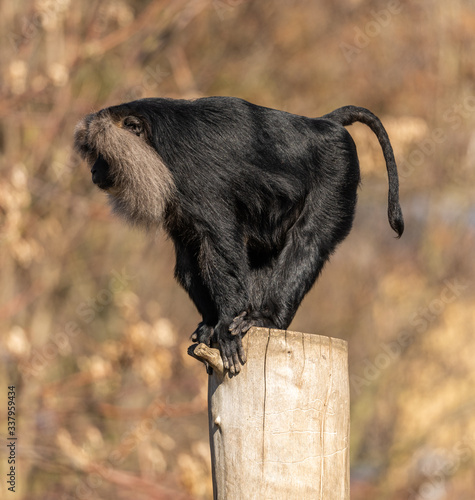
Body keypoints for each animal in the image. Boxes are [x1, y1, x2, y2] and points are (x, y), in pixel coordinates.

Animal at [75, 95, 406, 374]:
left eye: (101, 155)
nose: (93, 171)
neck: (158, 141)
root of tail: (322, 124)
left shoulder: (195, 176)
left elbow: (219, 247)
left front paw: (224, 325)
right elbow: (188, 260)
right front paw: (210, 324)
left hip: (338, 170)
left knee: (307, 241)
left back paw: (268, 318)